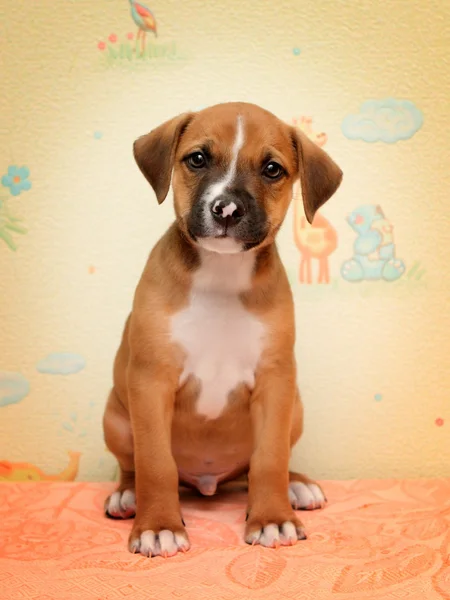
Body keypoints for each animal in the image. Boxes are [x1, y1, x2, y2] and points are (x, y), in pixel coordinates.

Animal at [103, 103, 342, 556]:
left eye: (272, 169)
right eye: (197, 159)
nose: (227, 209)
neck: (221, 273)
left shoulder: (276, 382)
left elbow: (270, 459)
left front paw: (272, 518)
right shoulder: (151, 381)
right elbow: (155, 463)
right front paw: (158, 526)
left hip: (295, 409)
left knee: (260, 467)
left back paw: (298, 486)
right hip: (117, 419)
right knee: (131, 466)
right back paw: (127, 496)